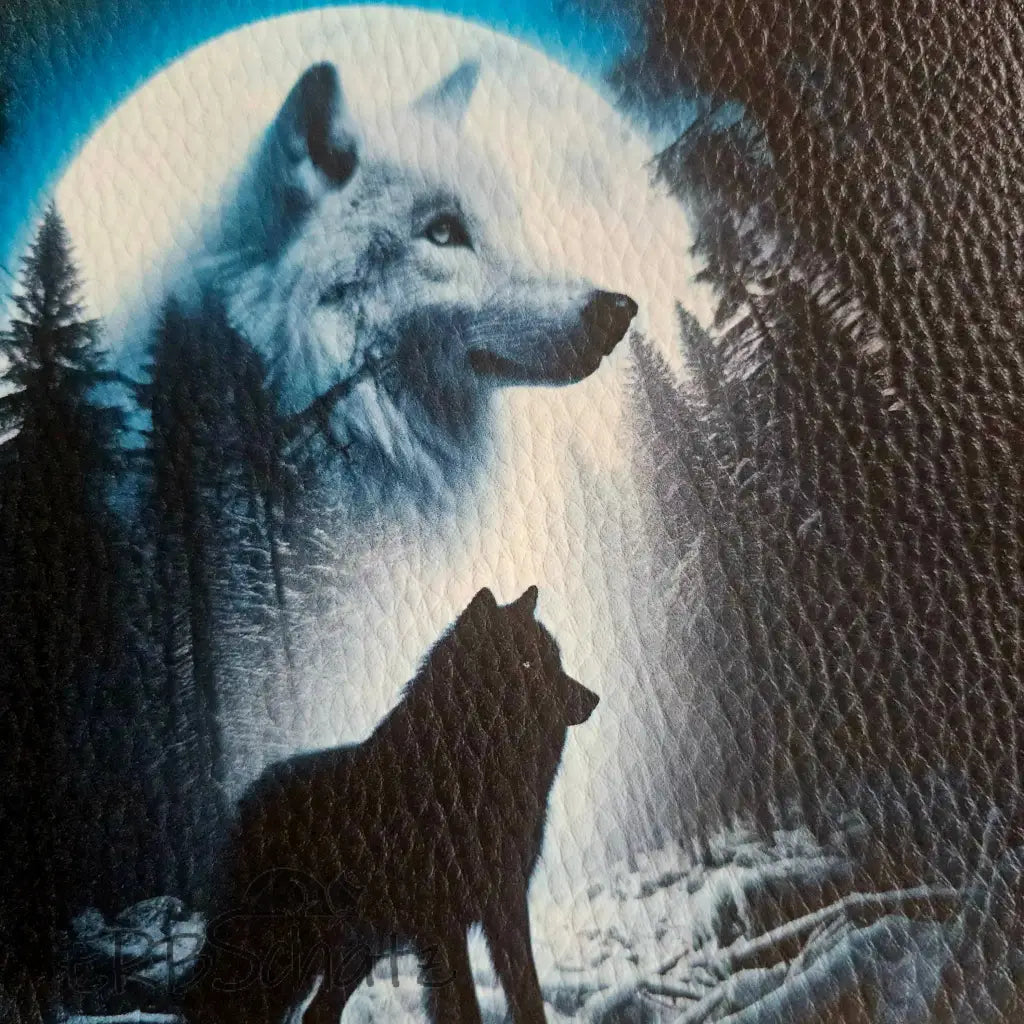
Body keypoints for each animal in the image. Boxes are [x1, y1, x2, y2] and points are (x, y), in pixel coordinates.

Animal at [184, 585, 599, 1024]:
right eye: (527, 661)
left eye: (554, 660)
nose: (593, 700)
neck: (466, 769)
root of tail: (246, 800)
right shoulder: (443, 923)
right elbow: (464, 1005)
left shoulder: (506, 906)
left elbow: (526, 992)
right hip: (282, 945)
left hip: (354, 946)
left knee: (314, 1012)